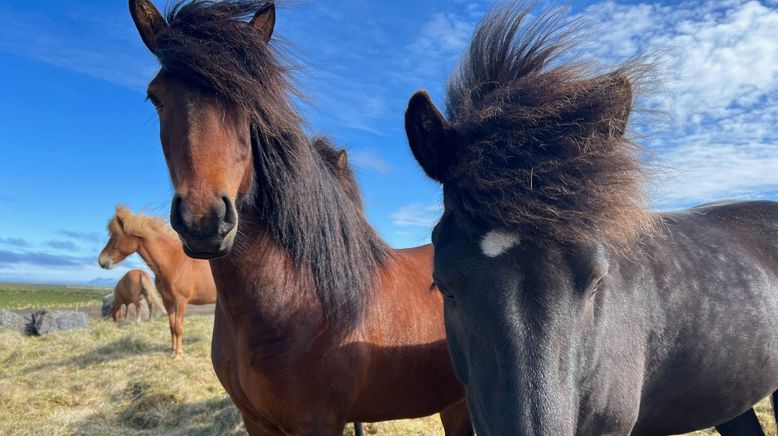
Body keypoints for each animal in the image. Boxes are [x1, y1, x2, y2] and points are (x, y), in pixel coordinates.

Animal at [99, 206, 218, 360]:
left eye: (114, 236)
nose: (101, 261)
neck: (173, 262)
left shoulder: (181, 302)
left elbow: (179, 328)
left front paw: (179, 354)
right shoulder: (168, 302)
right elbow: (172, 327)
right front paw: (173, 351)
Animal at [129, 1, 466, 434]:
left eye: (248, 99)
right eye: (155, 97)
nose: (204, 221)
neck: (300, 298)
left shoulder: (318, 422)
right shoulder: (255, 420)